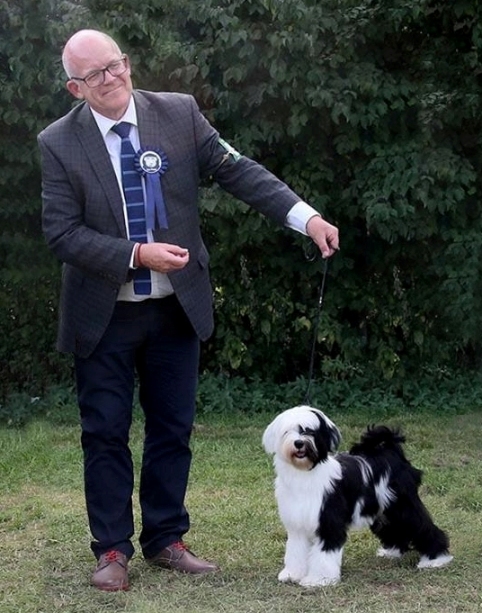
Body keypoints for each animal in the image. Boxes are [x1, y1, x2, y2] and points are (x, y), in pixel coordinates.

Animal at [262, 404, 454, 584]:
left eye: (310, 431)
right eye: (288, 431)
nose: (299, 443)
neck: (305, 474)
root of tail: (392, 452)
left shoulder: (329, 522)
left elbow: (324, 554)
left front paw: (319, 580)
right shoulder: (297, 525)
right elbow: (295, 551)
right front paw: (293, 574)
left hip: (403, 506)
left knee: (423, 526)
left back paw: (436, 559)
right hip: (385, 510)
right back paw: (392, 551)